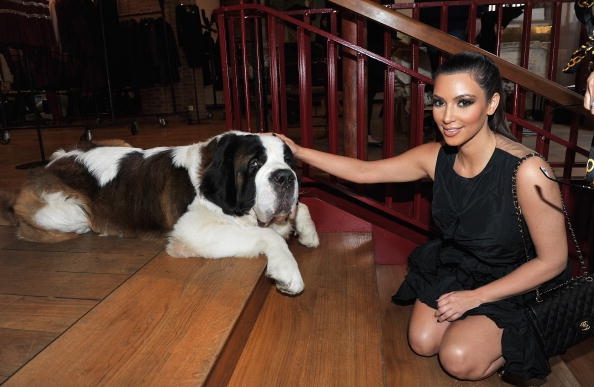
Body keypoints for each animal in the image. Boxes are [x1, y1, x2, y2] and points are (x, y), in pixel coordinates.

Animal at [5, 132, 320, 296]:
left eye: (289, 162)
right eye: (255, 164)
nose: (285, 177)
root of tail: (51, 162)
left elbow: (302, 207)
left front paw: (308, 233)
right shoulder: (192, 230)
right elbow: (269, 236)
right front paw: (287, 272)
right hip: (68, 212)